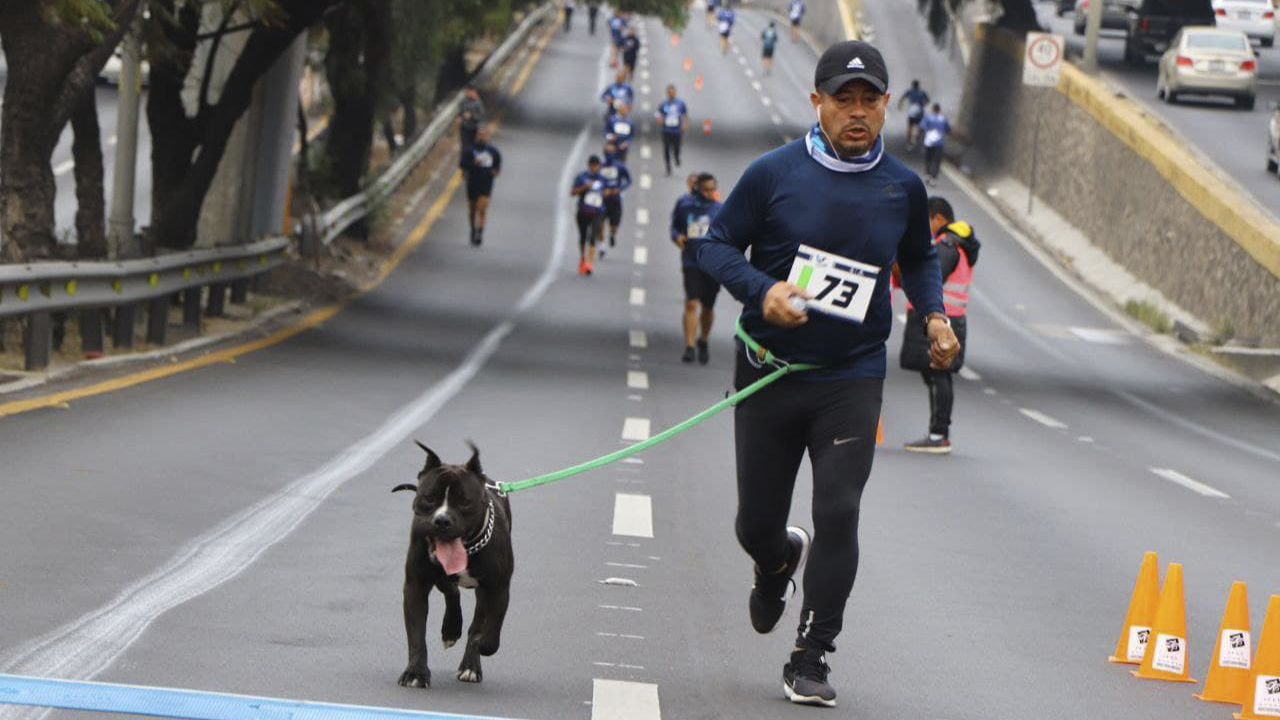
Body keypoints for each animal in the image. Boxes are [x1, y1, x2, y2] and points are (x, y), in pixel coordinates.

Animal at [391, 440, 512, 686]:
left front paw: (483, 645)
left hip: (483, 591)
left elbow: (490, 626)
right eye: (429, 498)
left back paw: (470, 665)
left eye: (465, 502)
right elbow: (416, 634)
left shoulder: (498, 587)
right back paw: (451, 629)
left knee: (477, 622)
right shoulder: (416, 586)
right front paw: (415, 673)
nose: (442, 520)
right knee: (451, 591)